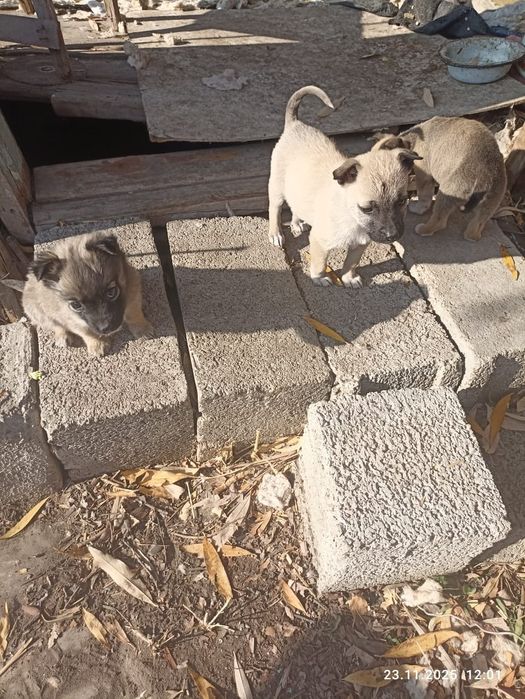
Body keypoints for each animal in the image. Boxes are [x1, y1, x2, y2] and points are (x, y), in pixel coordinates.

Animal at [20, 232, 153, 356]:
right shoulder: (71, 318)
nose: (105, 328)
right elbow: (87, 332)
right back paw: (62, 337)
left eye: (111, 292)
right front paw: (97, 344)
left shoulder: (132, 291)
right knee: (55, 325)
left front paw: (143, 329)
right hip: (37, 312)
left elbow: (133, 314)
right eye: (76, 305)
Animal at [267, 85, 421, 287]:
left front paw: (348, 278)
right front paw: (319, 278)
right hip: (277, 188)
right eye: (367, 208)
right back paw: (275, 233)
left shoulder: (361, 244)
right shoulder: (320, 242)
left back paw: (297, 223)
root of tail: (295, 124)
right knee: (274, 209)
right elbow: (320, 263)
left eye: (403, 201)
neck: (352, 217)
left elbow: (351, 262)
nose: (392, 236)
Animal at [375, 117, 507, 241]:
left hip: (448, 192)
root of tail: (484, 175)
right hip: (492, 199)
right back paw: (472, 235)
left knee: (440, 220)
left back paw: (424, 229)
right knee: (478, 224)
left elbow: (424, 196)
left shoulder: (424, 176)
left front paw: (418, 208)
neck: (411, 142)